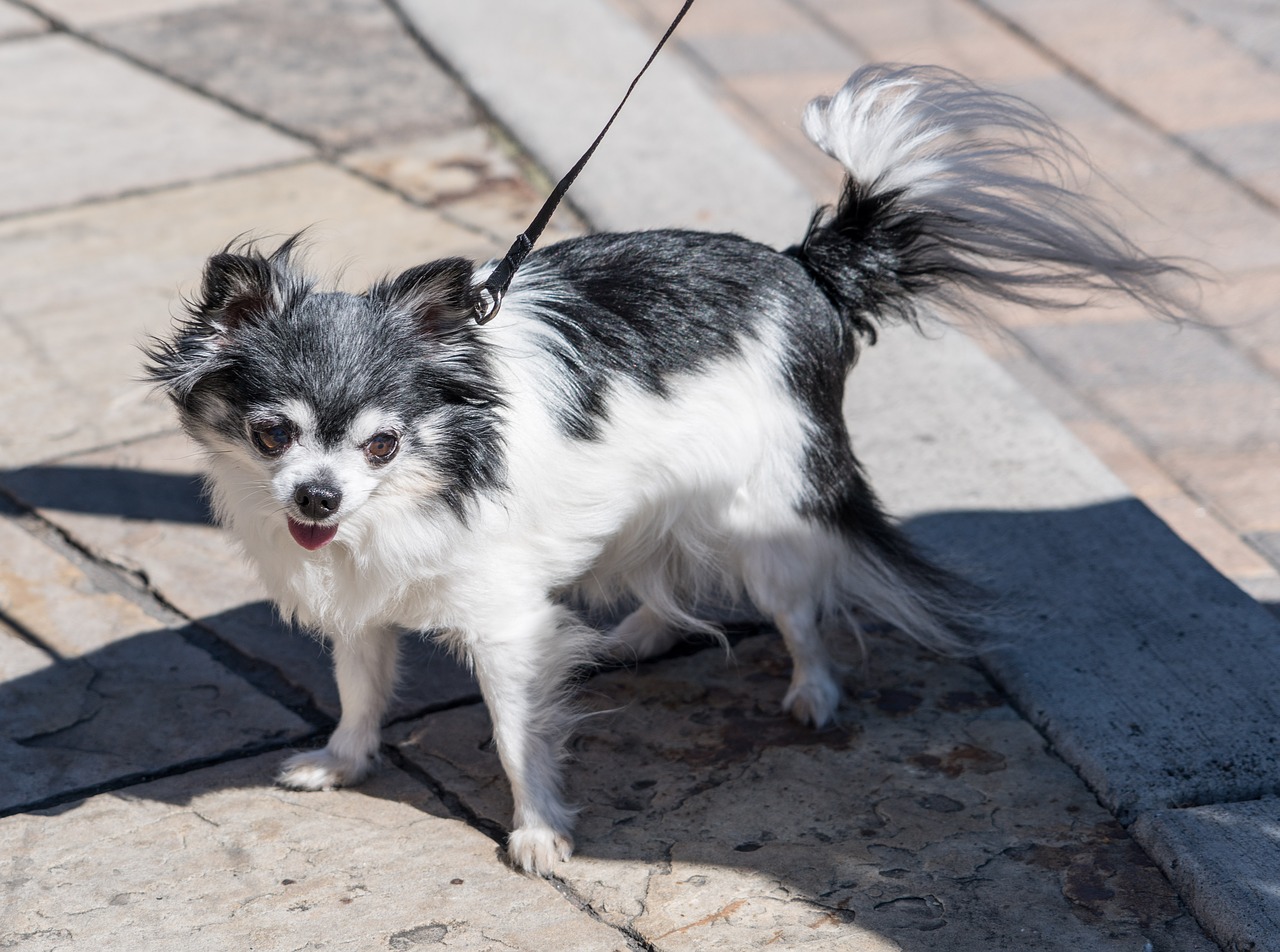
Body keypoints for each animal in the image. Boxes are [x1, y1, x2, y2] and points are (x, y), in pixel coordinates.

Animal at [145, 63, 1182, 875]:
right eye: (272, 436)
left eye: (381, 445)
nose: (318, 498)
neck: (431, 472)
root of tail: (805, 269)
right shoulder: (365, 598)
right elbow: (361, 685)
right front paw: (344, 761)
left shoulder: (504, 621)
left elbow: (517, 733)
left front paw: (538, 833)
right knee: (663, 568)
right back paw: (633, 637)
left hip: (768, 513)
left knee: (796, 610)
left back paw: (812, 694)